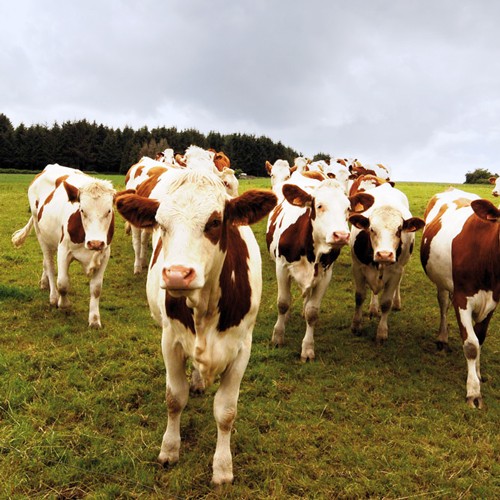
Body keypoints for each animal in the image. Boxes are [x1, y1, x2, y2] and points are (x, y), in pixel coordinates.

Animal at [11, 163, 115, 328]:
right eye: (82, 210)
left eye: (109, 211)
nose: (95, 242)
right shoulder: (63, 250)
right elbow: (63, 282)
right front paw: (63, 304)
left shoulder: (104, 253)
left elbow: (96, 289)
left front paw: (94, 320)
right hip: (40, 232)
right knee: (49, 264)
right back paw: (53, 296)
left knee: (46, 262)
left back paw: (44, 282)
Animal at [114, 169, 278, 484]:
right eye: (161, 224)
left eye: (214, 222)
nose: (178, 274)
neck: (204, 306)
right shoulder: (170, 341)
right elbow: (174, 398)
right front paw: (169, 448)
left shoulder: (242, 348)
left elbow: (226, 411)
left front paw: (223, 467)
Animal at [268, 175, 374, 360]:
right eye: (319, 206)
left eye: (348, 208)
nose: (341, 235)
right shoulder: (281, 267)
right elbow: (283, 302)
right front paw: (278, 337)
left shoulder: (325, 274)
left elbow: (312, 312)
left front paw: (308, 348)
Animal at [348, 183, 426, 344]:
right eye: (371, 229)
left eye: (399, 229)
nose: (384, 254)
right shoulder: (357, 267)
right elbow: (359, 296)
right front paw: (356, 325)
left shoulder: (396, 272)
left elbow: (386, 303)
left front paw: (382, 332)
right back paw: (373, 308)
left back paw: (396, 303)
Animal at [420, 186, 498, 408]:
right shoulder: (462, 298)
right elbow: (471, 345)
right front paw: (473, 392)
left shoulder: (494, 300)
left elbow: (480, 338)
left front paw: (478, 374)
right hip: (442, 283)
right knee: (443, 304)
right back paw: (442, 338)